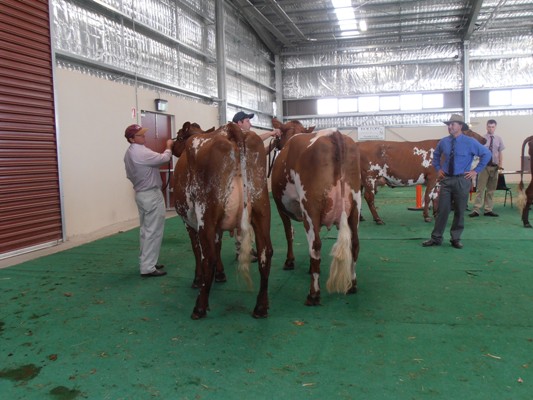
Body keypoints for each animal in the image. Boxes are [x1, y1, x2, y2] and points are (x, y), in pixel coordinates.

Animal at [172, 122, 272, 318]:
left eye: (179, 136)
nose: (172, 147)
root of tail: (230, 129)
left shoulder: (189, 223)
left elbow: (198, 250)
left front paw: (198, 279)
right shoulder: (217, 227)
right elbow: (218, 246)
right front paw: (220, 275)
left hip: (205, 212)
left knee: (208, 257)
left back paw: (200, 307)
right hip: (262, 209)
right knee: (266, 253)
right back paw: (261, 307)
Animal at [270, 117, 362, 304]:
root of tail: (335, 134)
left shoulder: (280, 206)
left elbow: (288, 233)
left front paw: (289, 261)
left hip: (310, 206)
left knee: (316, 245)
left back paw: (313, 294)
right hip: (355, 205)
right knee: (355, 243)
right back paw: (352, 285)